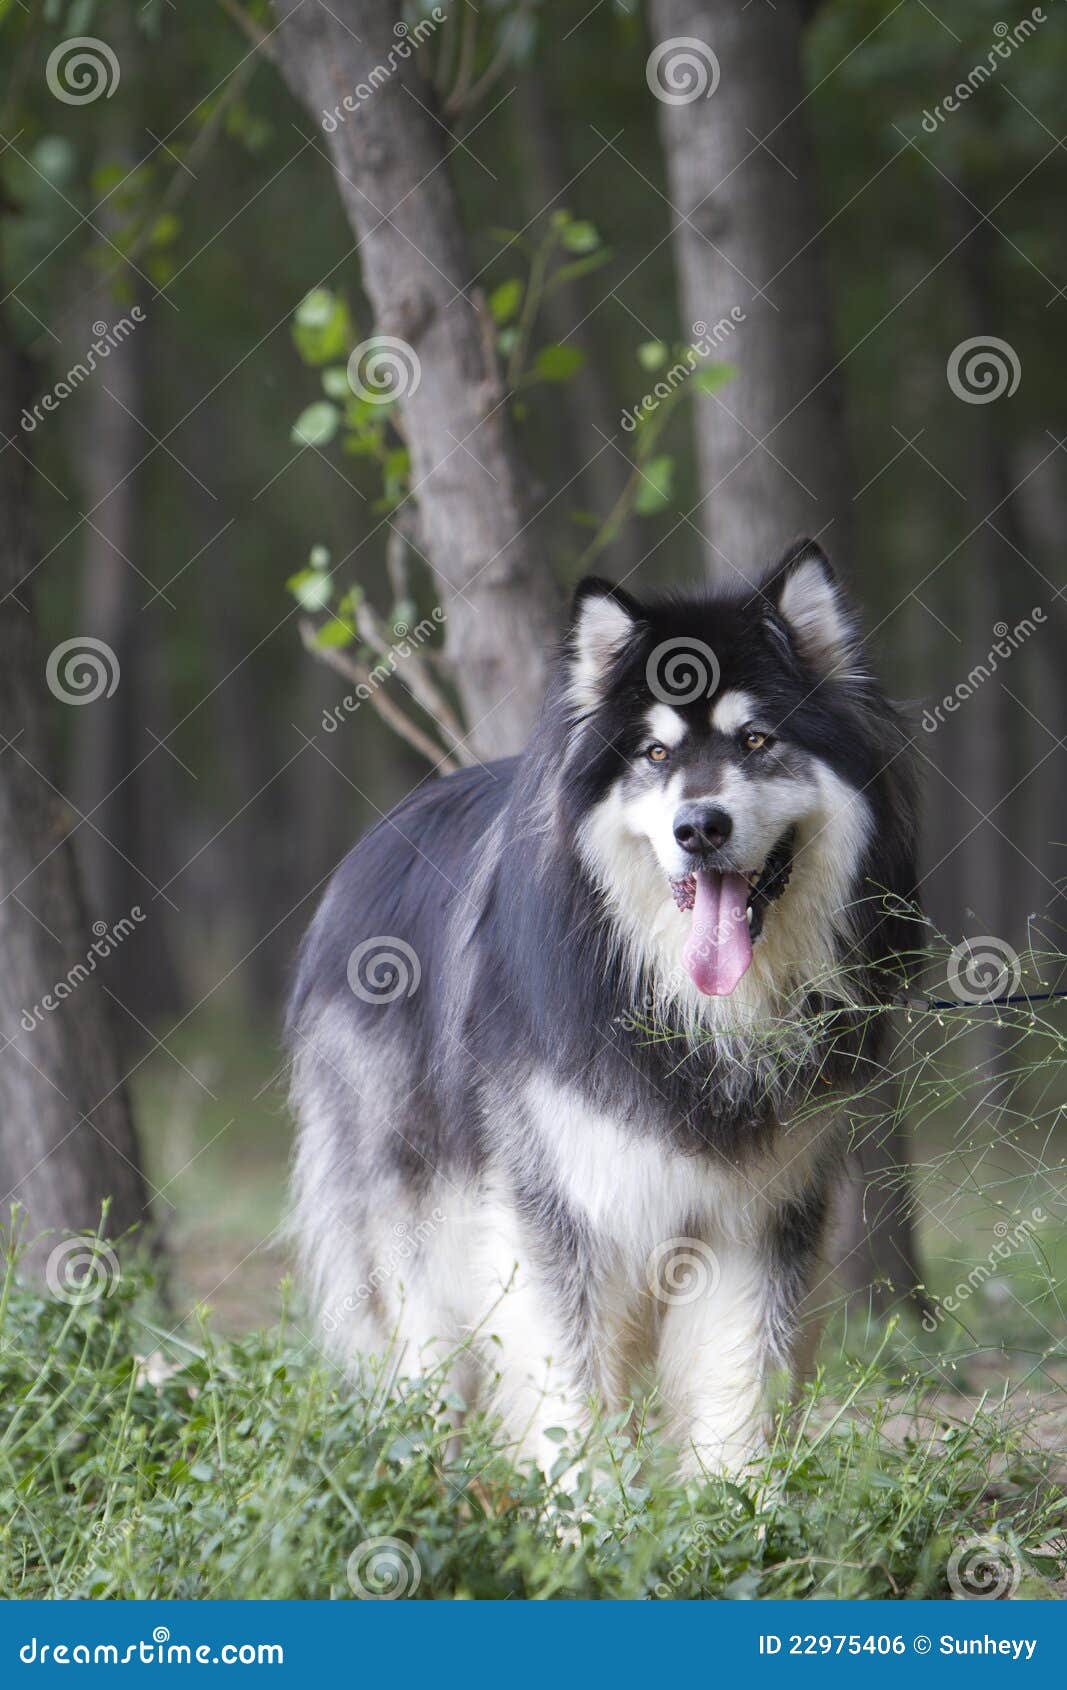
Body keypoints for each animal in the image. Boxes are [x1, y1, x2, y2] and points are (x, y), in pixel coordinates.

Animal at [285, 540, 919, 1480]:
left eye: (755, 739)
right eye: (653, 754)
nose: (699, 828)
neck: (684, 1012)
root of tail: (373, 841)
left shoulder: (755, 1216)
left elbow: (738, 1388)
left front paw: (736, 1508)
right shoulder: (556, 1213)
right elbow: (571, 1390)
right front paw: (588, 1512)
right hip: (412, 1219)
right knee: (424, 1365)